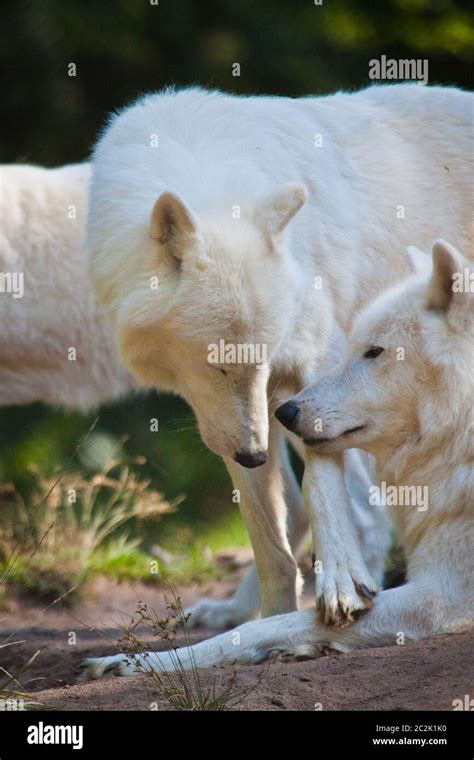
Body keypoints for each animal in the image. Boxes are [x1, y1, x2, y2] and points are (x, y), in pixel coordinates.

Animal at [81, 239, 474, 676]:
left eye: (375, 352)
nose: (285, 412)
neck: (463, 431)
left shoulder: (440, 596)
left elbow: (266, 626)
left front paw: (140, 661)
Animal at [87, 84, 472, 628]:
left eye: (260, 357)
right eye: (218, 363)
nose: (254, 454)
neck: (204, 168)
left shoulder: (315, 360)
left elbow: (321, 483)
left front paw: (340, 581)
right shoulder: (234, 416)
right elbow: (267, 533)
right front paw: (273, 614)